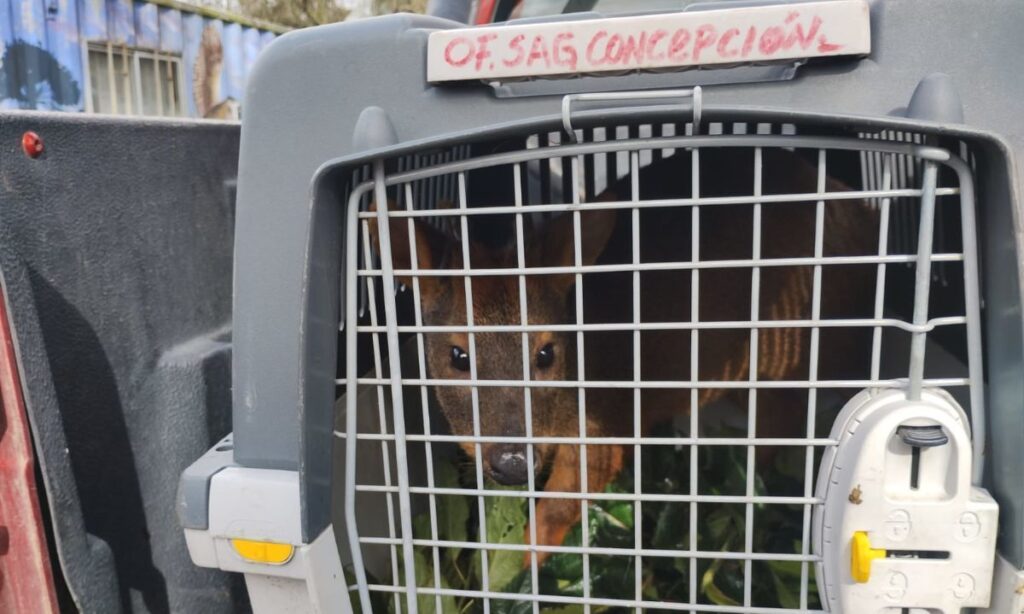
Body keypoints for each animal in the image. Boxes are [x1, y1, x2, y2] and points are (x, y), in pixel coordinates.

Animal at [372, 146, 876, 560]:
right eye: (457, 356)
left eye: (546, 354)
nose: (513, 462)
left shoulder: (605, 424)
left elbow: (557, 510)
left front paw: (519, 573)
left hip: (798, 352)